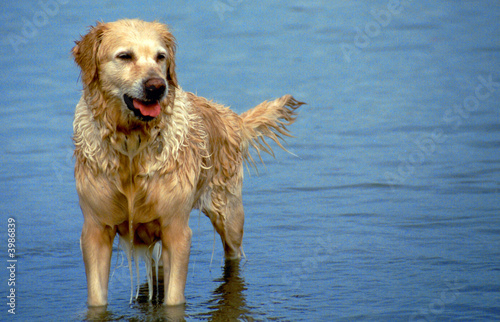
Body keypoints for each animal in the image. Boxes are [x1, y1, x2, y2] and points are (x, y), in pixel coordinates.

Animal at [72, 18, 302, 306]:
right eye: (124, 56)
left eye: (161, 57)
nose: (157, 86)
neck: (132, 145)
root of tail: (231, 116)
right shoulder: (95, 229)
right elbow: (96, 298)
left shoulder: (176, 229)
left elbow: (173, 299)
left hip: (229, 214)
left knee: (234, 253)